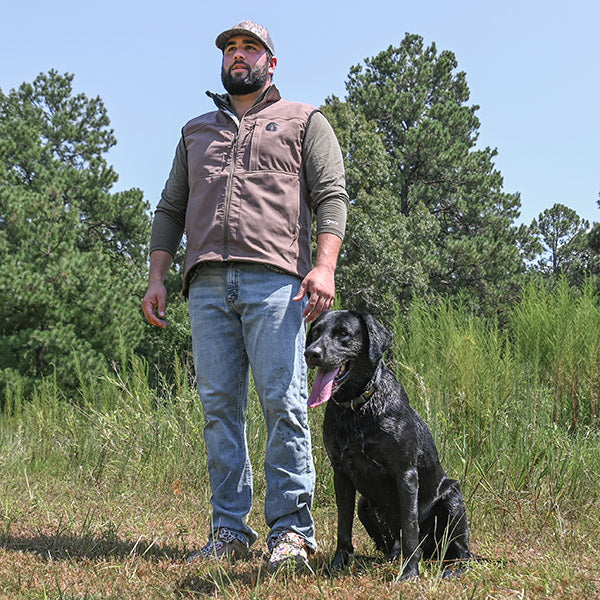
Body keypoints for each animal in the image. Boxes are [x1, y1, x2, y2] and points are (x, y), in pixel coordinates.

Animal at [308, 312, 472, 580]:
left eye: (344, 334)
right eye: (315, 332)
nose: (311, 352)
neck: (358, 408)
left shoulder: (405, 474)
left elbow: (410, 528)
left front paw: (409, 573)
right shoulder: (340, 473)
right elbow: (343, 528)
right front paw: (337, 565)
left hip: (453, 498)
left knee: (462, 552)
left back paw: (453, 569)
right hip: (365, 505)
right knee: (392, 545)